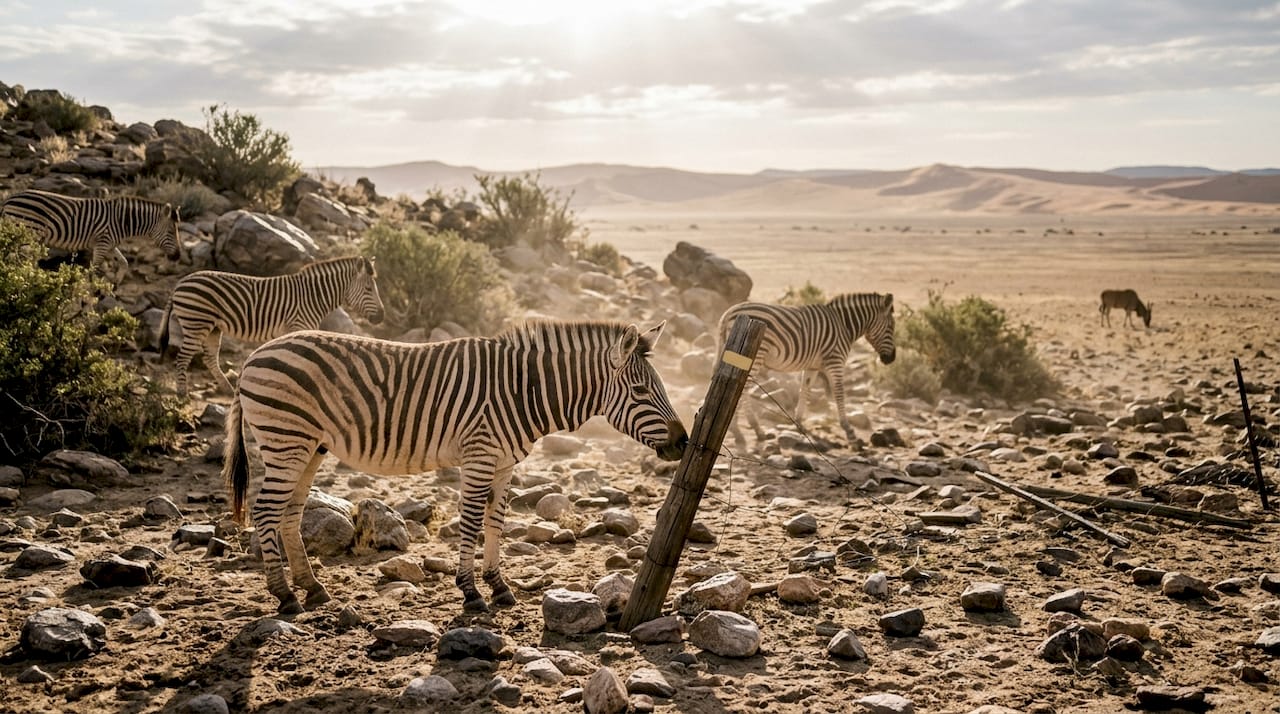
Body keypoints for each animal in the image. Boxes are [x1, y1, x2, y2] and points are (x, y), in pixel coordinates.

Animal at [0, 190, 181, 279]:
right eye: (172, 232)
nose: (178, 257)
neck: (121, 221)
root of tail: (9, 198)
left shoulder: (109, 245)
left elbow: (124, 263)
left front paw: (117, 282)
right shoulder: (102, 245)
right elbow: (92, 273)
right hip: (26, 232)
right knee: (16, 259)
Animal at [159, 255, 385, 397]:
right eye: (368, 288)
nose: (381, 317)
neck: (313, 296)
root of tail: (180, 283)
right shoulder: (297, 326)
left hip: (213, 327)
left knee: (209, 358)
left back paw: (228, 391)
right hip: (196, 322)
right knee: (183, 357)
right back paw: (182, 395)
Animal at [222, 320, 687, 614]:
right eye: (642, 390)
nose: (684, 442)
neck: (523, 391)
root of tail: (253, 356)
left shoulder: (503, 464)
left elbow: (496, 522)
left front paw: (499, 586)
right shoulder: (480, 455)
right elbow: (471, 522)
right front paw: (470, 592)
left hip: (309, 447)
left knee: (290, 513)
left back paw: (313, 588)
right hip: (286, 440)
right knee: (266, 511)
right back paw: (285, 596)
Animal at [718, 293, 896, 445]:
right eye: (891, 327)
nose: (891, 359)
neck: (844, 325)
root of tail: (729, 311)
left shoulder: (813, 367)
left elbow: (805, 389)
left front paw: (799, 423)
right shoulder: (835, 361)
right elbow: (839, 393)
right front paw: (849, 431)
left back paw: (742, 429)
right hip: (754, 354)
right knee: (742, 388)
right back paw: (748, 429)